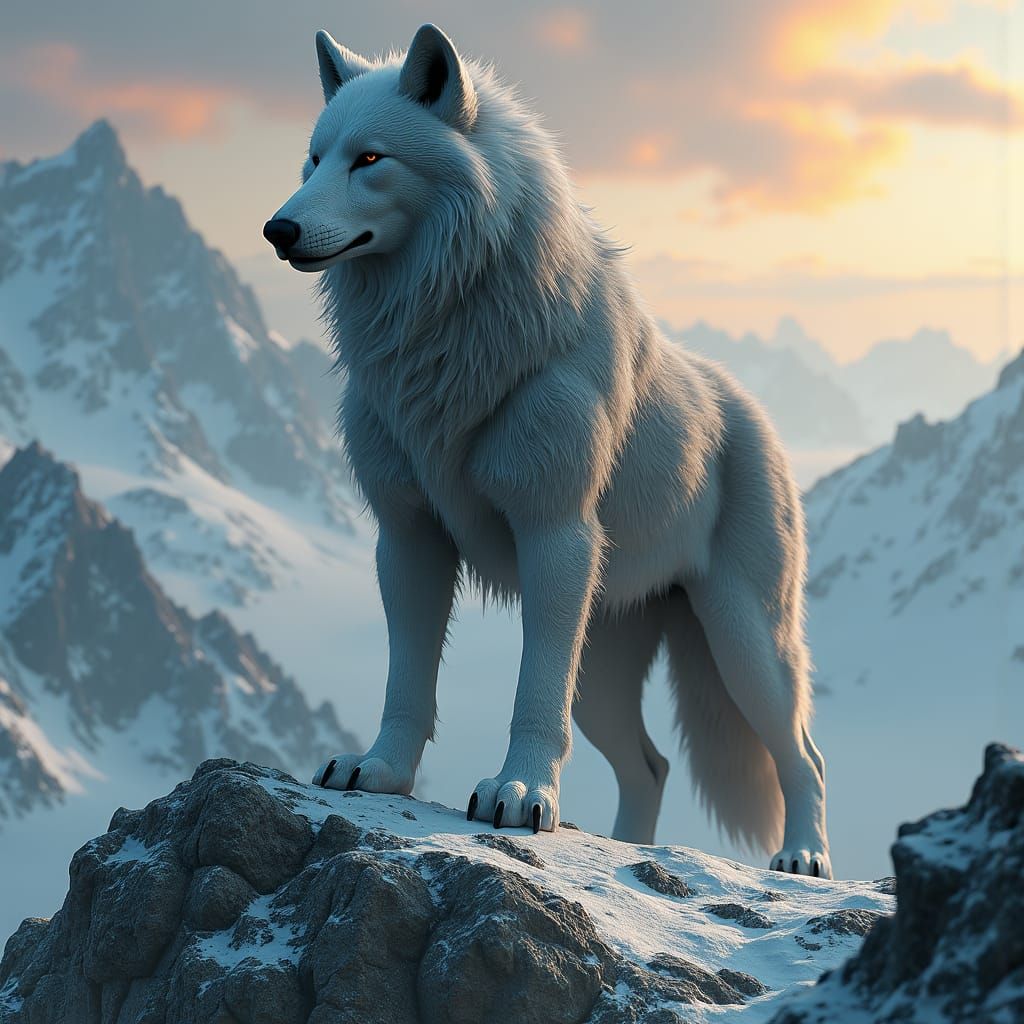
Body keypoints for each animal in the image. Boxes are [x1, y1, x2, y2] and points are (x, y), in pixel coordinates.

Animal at [264, 24, 832, 877]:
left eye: (370, 159)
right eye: (314, 158)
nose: (278, 230)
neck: (448, 334)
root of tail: (754, 413)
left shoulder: (555, 535)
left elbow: (532, 695)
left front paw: (521, 794)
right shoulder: (408, 538)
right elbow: (407, 682)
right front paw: (382, 771)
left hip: (743, 643)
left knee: (804, 754)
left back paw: (802, 858)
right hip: (602, 666)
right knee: (651, 764)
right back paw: (632, 852)